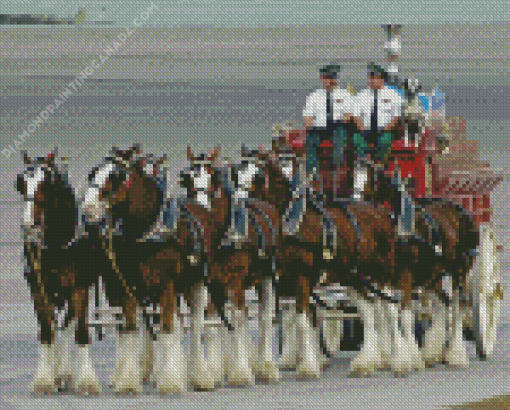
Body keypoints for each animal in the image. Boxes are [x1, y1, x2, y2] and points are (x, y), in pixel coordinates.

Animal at [15, 150, 117, 394]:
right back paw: (59, 373)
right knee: (57, 324)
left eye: (46, 184)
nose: (28, 224)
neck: (56, 242)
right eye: (21, 183)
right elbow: (47, 330)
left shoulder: (79, 286)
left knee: (69, 323)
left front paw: (87, 380)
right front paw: (44, 379)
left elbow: (78, 329)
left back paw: (67, 373)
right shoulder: (38, 288)